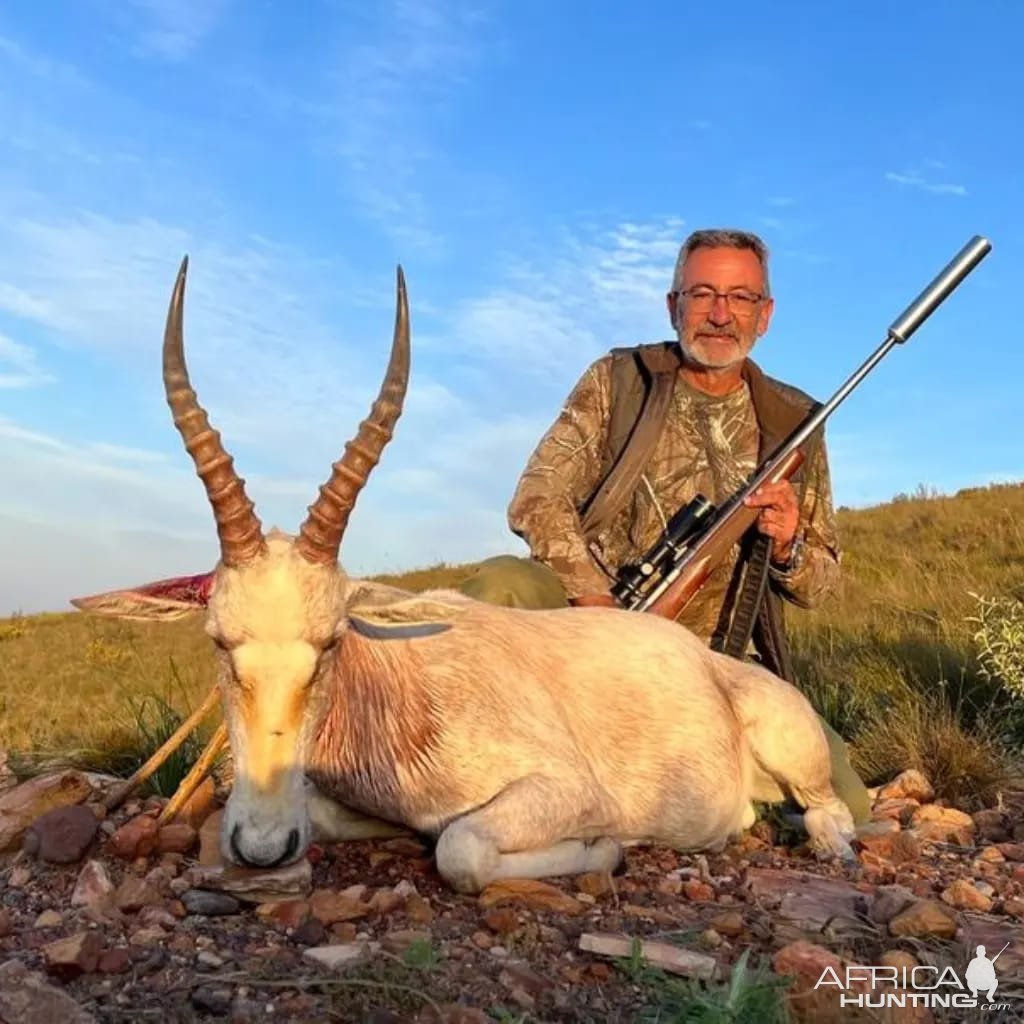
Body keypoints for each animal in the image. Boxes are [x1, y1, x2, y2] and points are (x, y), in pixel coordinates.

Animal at [74, 260, 856, 892]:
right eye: (218, 642)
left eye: (330, 643)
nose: (262, 847)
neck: (399, 686)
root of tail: (716, 665)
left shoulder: (561, 791)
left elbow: (462, 848)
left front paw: (605, 850)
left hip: (797, 755)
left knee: (828, 813)